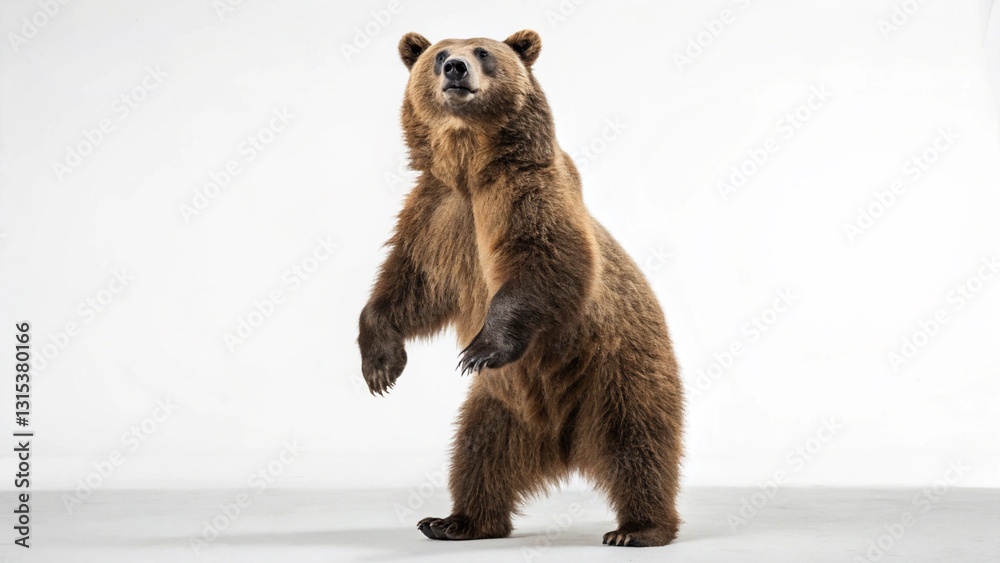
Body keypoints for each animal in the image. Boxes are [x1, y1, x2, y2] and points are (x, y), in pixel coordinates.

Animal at [358, 29, 684, 547]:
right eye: (438, 54)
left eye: (482, 52)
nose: (455, 68)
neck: (471, 167)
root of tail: (563, 442)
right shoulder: (436, 213)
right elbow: (410, 283)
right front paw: (380, 366)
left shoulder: (528, 192)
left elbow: (547, 260)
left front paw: (480, 347)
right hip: (502, 403)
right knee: (478, 452)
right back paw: (455, 521)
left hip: (618, 369)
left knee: (638, 442)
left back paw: (638, 528)